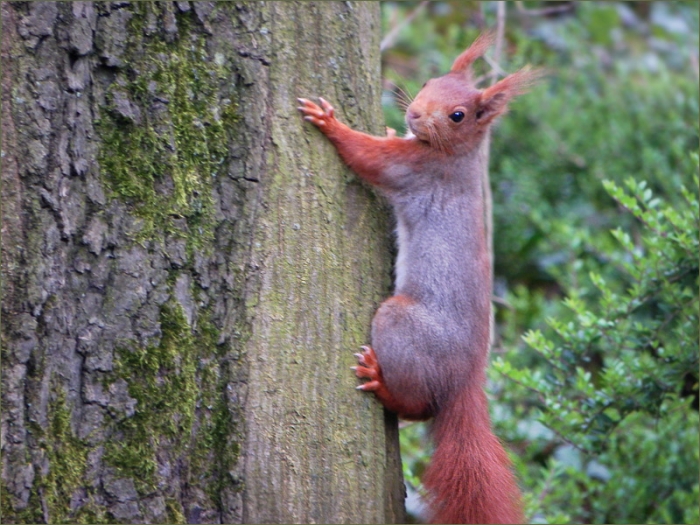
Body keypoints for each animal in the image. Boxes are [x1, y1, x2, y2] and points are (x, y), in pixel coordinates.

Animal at [298, 33, 539, 524]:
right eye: (429, 81)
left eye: (458, 115)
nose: (413, 113)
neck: (455, 153)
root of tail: (465, 380)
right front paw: (393, 129)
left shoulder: (412, 170)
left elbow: (366, 155)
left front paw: (330, 122)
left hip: (401, 326)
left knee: (416, 406)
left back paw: (380, 382)